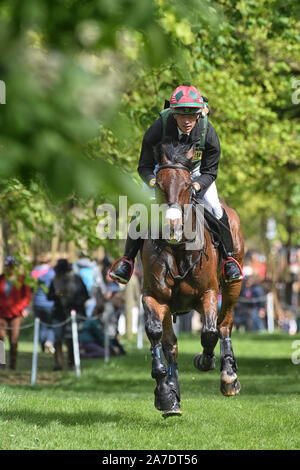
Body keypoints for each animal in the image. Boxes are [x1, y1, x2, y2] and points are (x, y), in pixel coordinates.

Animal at [141, 140, 244, 418]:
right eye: (159, 185)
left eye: (188, 185)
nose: (173, 227)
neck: (178, 250)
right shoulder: (154, 297)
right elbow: (157, 336)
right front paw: (165, 394)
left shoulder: (208, 294)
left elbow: (209, 332)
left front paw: (205, 361)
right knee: (171, 345)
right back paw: (173, 393)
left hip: (233, 285)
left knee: (224, 324)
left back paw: (229, 377)